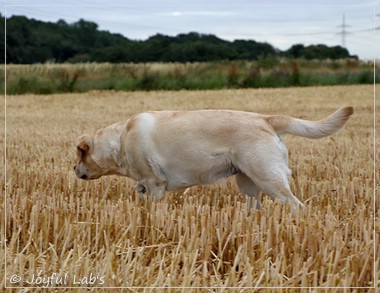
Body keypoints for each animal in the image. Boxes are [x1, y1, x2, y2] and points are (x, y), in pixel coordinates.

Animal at [74, 106, 354, 209]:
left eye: (79, 155)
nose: (74, 170)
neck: (120, 140)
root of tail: (267, 119)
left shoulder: (155, 184)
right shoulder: (143, 186)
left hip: (269, 178)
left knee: (297, 205)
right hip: (248, 183)